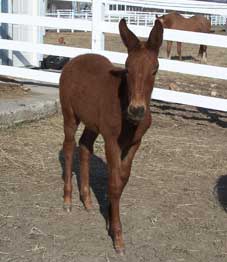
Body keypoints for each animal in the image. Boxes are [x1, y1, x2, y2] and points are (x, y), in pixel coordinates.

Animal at [59, 18, 164, 254]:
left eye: (155, 69)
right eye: (127, 68)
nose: (137, 110)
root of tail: (75, 59)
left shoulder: (134, 143)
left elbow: (122, 180)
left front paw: (108, 219)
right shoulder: (111, 141)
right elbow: (115, 182)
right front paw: (117, 236)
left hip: (92, 123)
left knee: (84, 146)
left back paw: (87, 200)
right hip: (70, 115)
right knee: (69, 147)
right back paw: (68, 200)